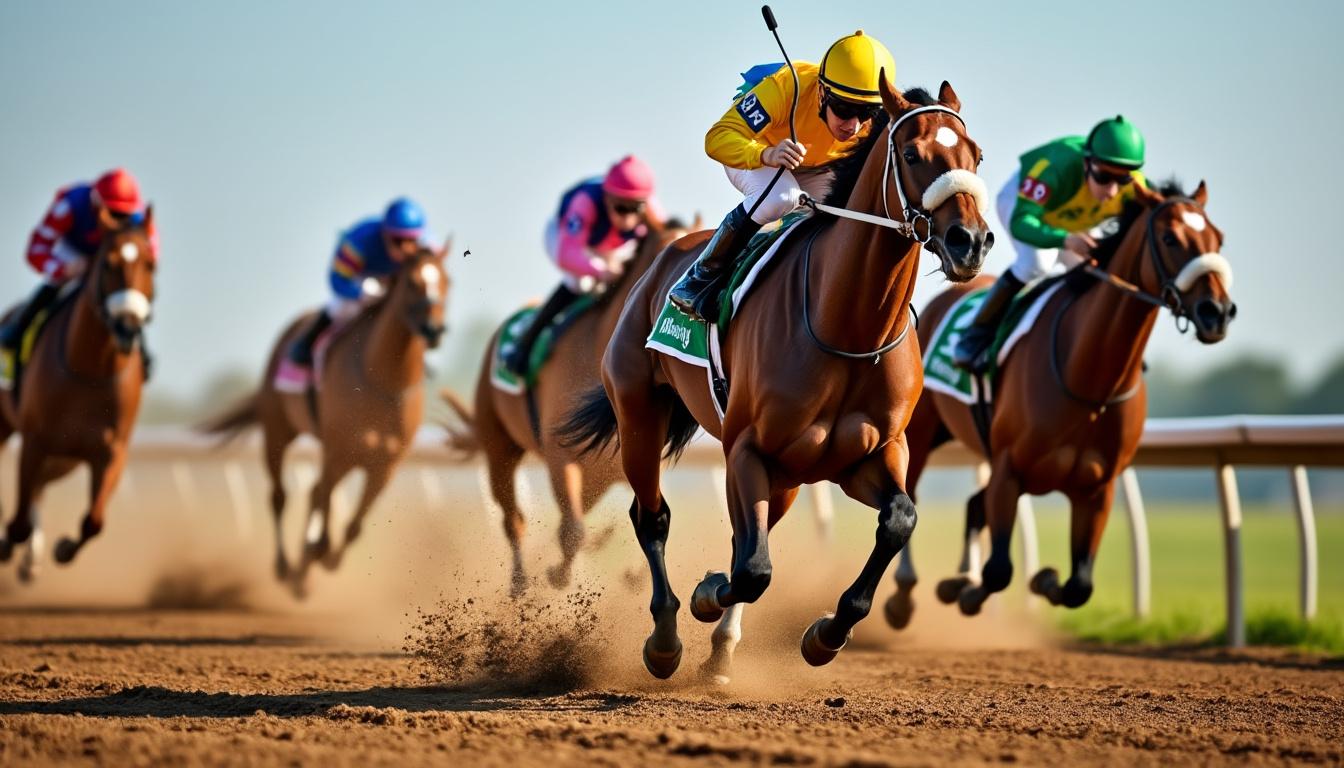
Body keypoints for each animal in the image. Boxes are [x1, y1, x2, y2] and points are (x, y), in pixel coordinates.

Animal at [0, 207, 157, 578]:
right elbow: (18, 523)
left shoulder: (111, 450)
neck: (90, 370)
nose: (127, 328)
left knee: (41, 490)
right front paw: (8, 544)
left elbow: (93, 522)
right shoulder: (36, 441)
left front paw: (63, 548)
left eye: (151, 265)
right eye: (108, 264)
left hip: (66, 460)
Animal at [200, 242, 449, 597]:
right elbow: (324, 500)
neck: (384, 382)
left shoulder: (385, 462)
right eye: (412, 283)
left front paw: (327, 557)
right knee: (282, 496)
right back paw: (287, 567)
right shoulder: (337, 449)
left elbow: (354, 523)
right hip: (278, 430)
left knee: (315, 492)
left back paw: (305, 568)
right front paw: (315, 551)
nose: (435, 329)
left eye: (447, 281)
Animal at [440, 217, 696, 597]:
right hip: (498, 446)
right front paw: (558, 575)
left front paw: (633, 574)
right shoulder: (562, 456)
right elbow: (572, 530)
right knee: (514, 519)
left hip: (594, 480)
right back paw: (520, 583)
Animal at [559, 77, 993, 681]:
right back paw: (666, 641)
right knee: (653, 517)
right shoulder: (746, 450)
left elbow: (898, 520)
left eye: (976, 155)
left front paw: (826, 634)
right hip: (640, 413)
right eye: (911, 155)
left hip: (787, 477)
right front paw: (706, 594)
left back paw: (720, 653)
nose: (969, 242)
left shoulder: (873, 455)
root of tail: (662, 259)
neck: (848, 327)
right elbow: (752, 569)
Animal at [886, 180, 1234, 626]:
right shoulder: (1009, 470)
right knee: (912, 491)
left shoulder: (1096, 488)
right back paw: (904, 593)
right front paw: (968, 592)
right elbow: (999, 570)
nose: (1218, 311)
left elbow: (1078, 586)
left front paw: (1037, 580)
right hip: (922, 430)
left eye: (1218, 239)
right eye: (1170, 238)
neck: (1089, 380)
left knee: (973, 506)